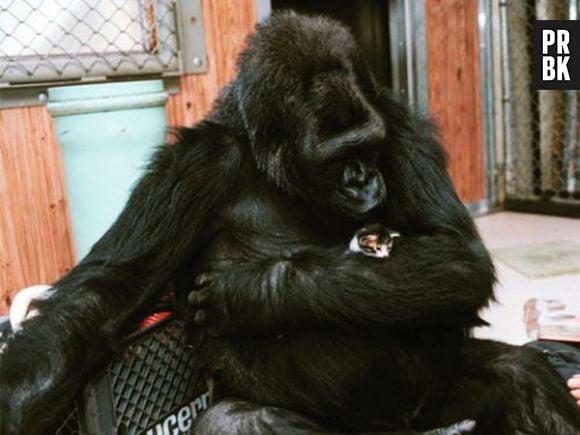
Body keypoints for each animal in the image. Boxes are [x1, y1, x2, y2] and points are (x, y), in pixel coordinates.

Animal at [1, 11, 580, 435]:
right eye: (337, 158)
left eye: (370, 147)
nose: (365, 182)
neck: (273, 170)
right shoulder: (191, 166)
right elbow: (106, 292)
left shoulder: (398, 125)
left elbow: (456, 253)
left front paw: (253, 292)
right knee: (242, 422)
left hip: (432, 410)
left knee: (521, 375)